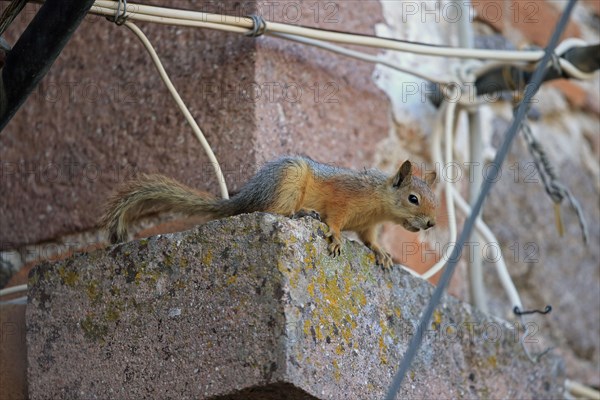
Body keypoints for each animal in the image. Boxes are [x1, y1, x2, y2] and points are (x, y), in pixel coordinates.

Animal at [98, 156, 436, 268]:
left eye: (435, 200)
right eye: (413, 198)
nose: (432, 223)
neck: (377, 200)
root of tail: (246, 197)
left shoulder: (369, 225)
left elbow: (369, 239)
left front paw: (382, 253)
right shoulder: (344, 200)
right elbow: (335, 221)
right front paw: (337, 238)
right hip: (288, 183)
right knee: (274, 211)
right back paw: (301, 214)